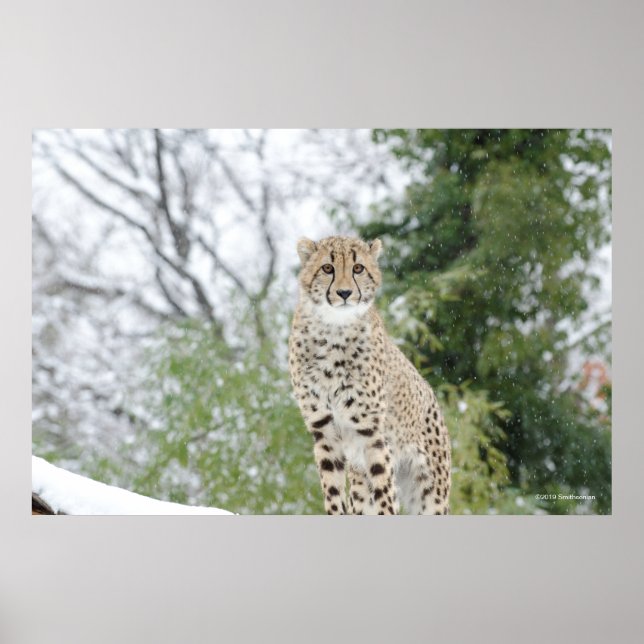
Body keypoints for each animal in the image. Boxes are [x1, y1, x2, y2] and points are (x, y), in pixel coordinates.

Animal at [288, 235, 451, 515]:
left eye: (358, 268)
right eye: (327, 268)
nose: (344, 293)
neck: (333, 330)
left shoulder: (371, 432)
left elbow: (384, 492)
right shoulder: (324, 429)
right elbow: (332, 491)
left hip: (430, 494)